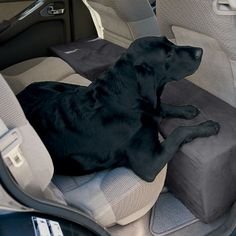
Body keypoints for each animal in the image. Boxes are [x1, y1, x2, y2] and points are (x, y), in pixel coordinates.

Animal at [18, 37, 219, 182]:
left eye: (170, 42)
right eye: (168, 54)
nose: (200, 51)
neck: (125, 97)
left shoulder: (152, 107)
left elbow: (161, 106)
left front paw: (187, 110)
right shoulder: (148, 163)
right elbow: (179, 132)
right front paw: (208, 126)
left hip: (62, 86)